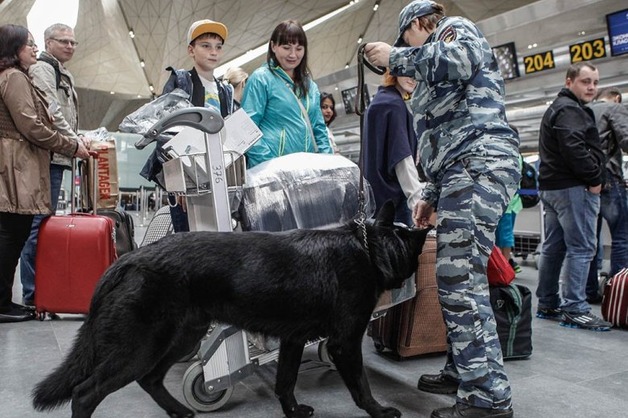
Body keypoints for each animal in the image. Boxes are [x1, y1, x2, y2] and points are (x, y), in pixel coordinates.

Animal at [31, 201, 430, 416]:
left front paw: (292, 412)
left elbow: (285, 383)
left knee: (151, 379)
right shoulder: (344, 343)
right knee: (85, 393)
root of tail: (127, 260)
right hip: (140, 347)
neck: (368, 248)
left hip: (178, 339)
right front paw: (379, 411)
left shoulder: (293, 341)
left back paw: (179, 410)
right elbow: (361, 386)